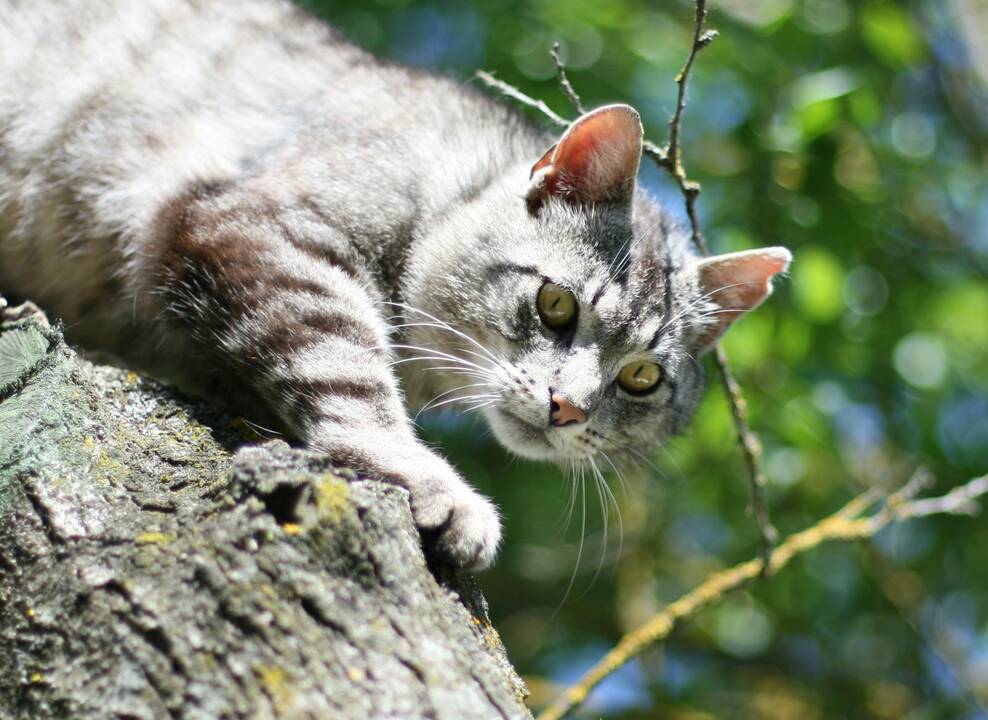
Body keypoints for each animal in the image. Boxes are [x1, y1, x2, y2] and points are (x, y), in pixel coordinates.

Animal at [0, 0, 788, 572]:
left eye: (641, 378)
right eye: (556, 305)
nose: (567, 407)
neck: (447, 183)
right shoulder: (258, 226)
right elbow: (350, 373)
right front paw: (434, 482)